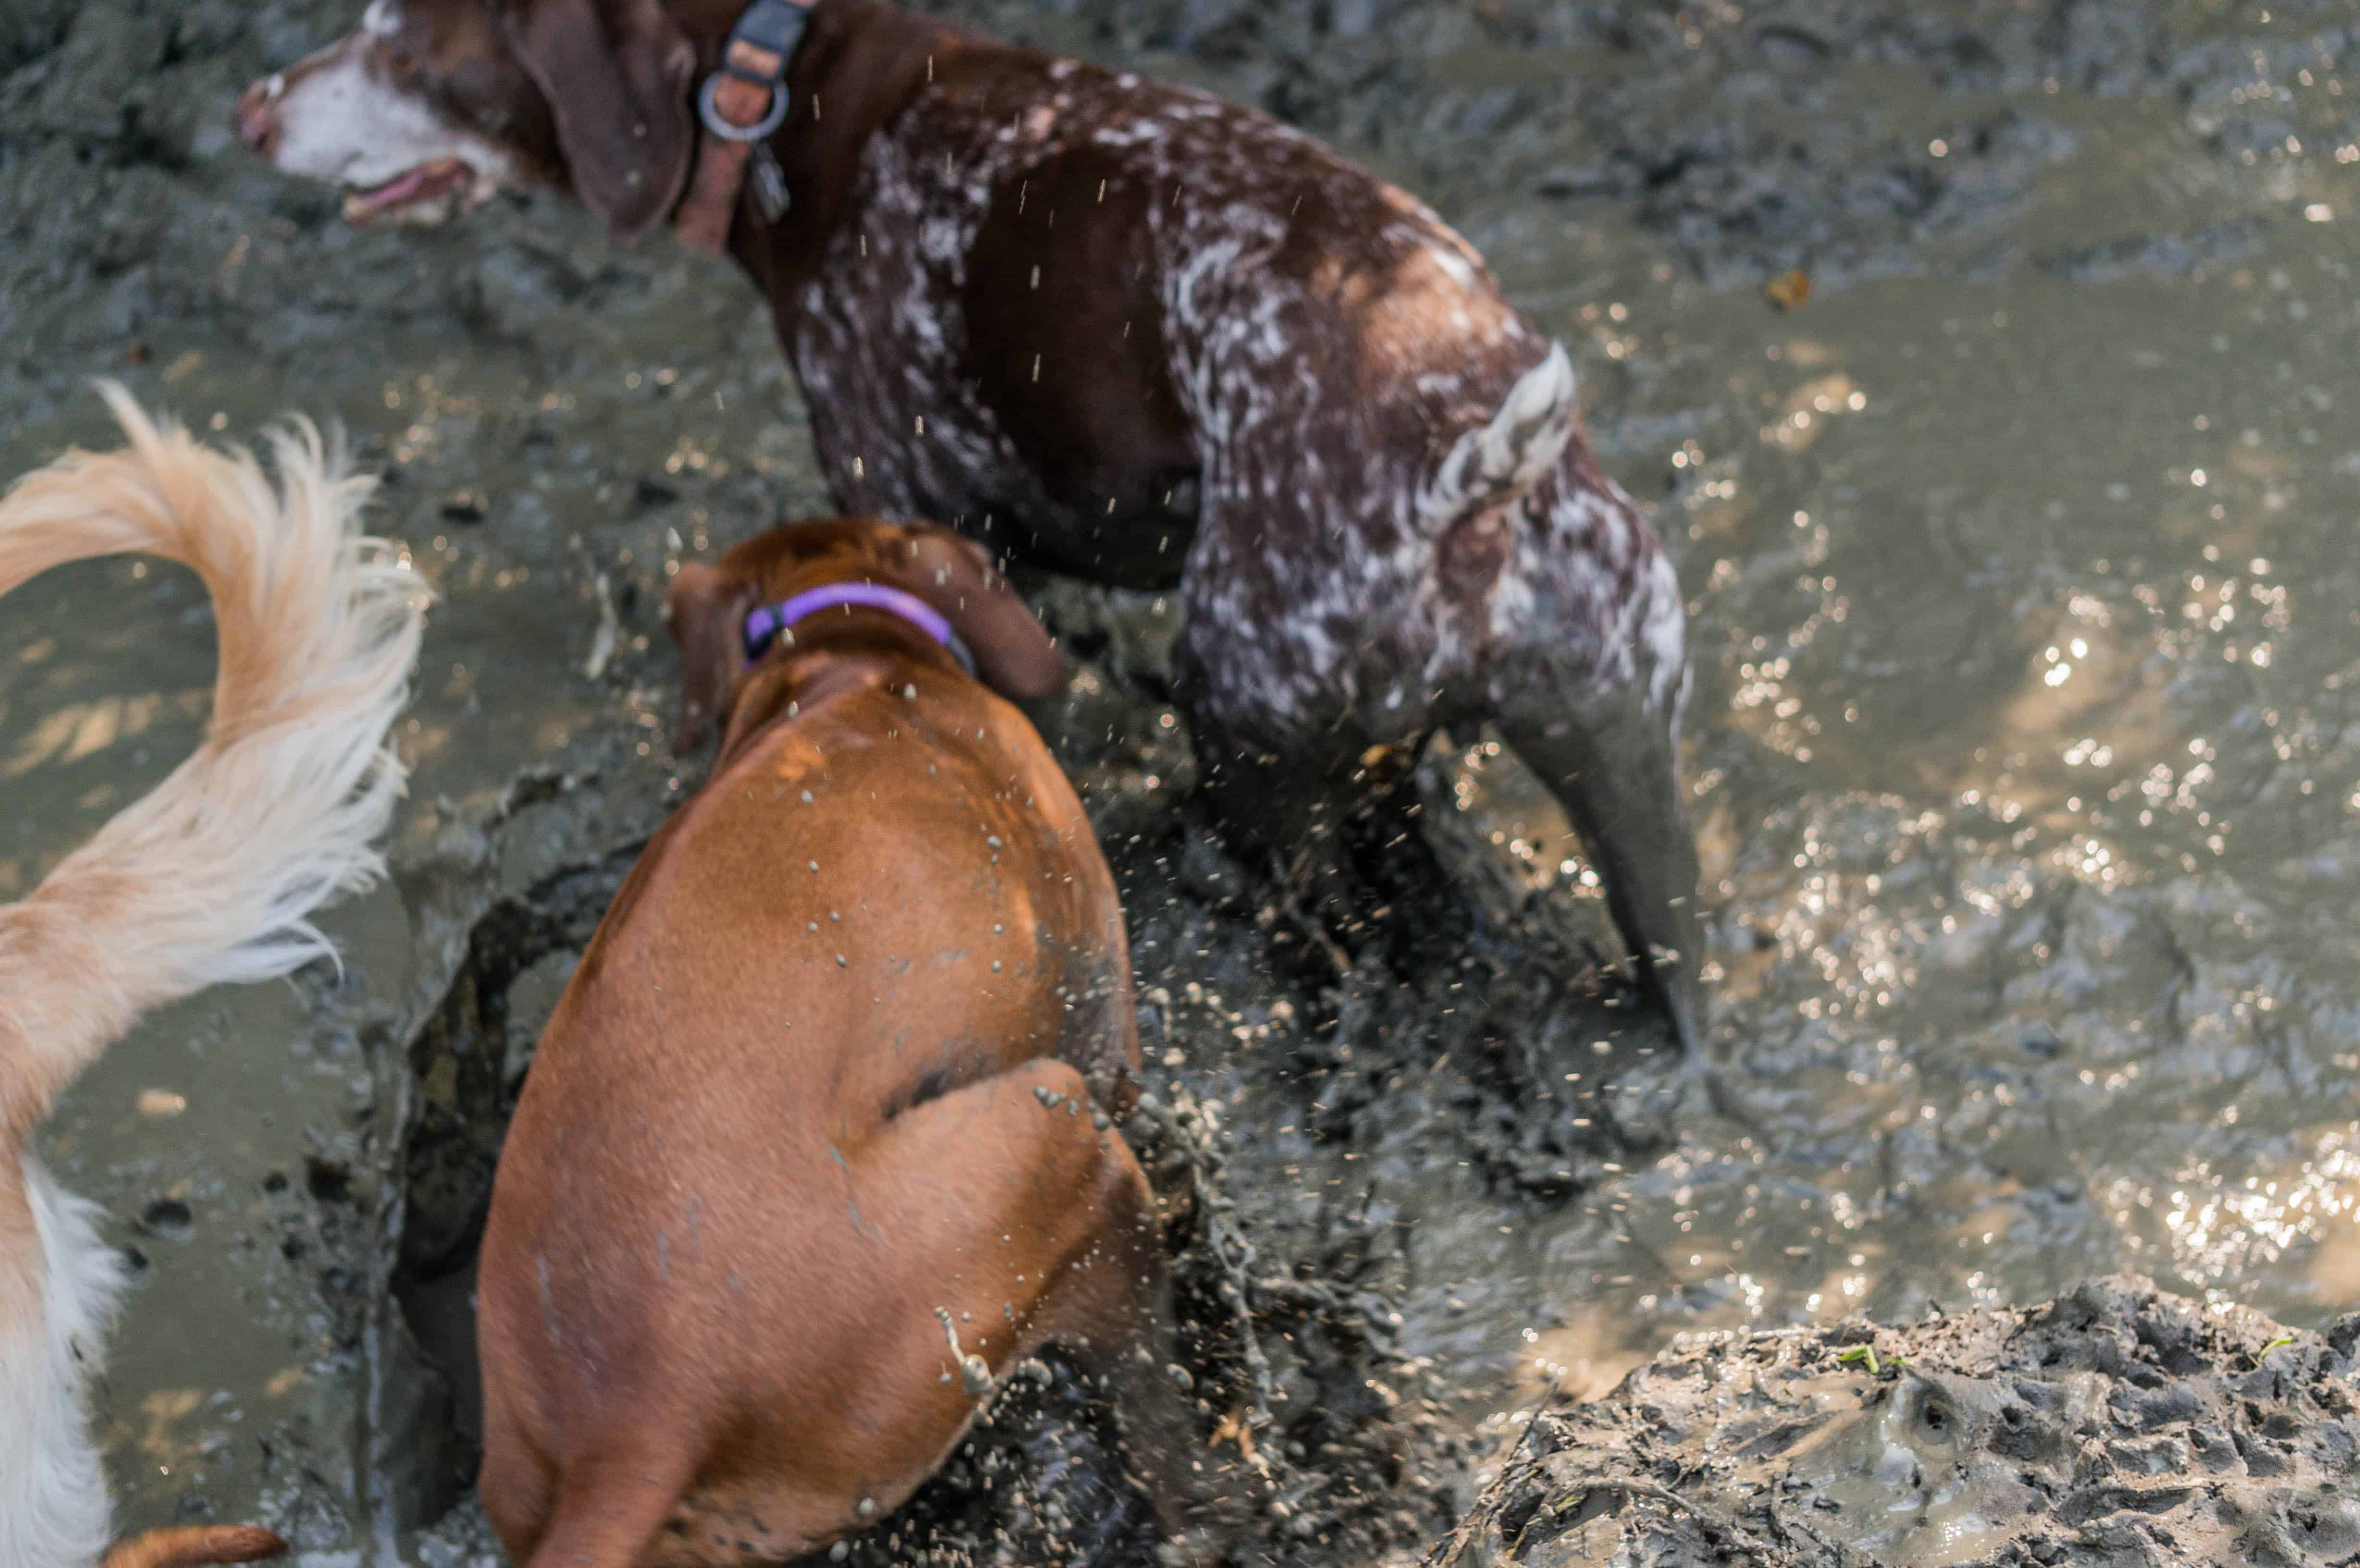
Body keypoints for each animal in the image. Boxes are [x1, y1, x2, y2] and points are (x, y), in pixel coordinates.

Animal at [239, 0, 1709, 1058]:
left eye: (402, 41)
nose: (252, 110)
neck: (784, 99)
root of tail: (1486, 482)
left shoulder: (911, 505)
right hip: (1639, 800)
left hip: (1247, 722)